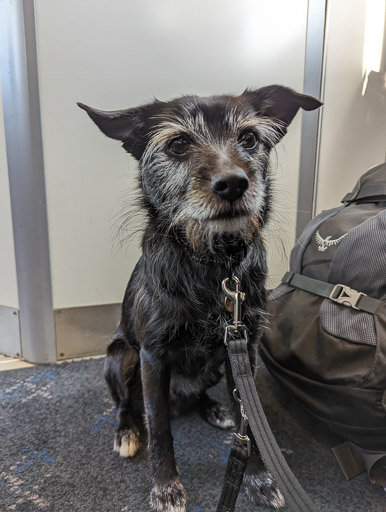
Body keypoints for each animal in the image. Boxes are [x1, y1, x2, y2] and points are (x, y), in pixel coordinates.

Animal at [77, 86, 322, 510]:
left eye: (249, 139)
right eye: (178, 144)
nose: (233, 184)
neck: (213, 265)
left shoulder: (244, 350)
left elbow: (249, 422)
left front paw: (259, 477)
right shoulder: (152, 357)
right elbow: (159, 428)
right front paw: (165, 487)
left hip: (217, 367)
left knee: (200, 395)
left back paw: (212, 408)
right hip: (119, 356)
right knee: (127, 403)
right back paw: (127, 431)